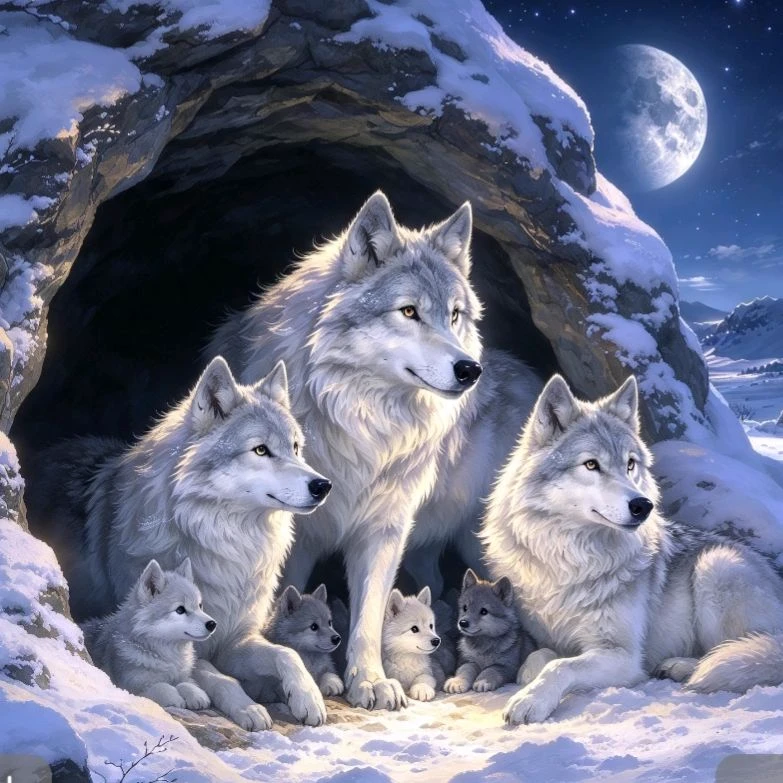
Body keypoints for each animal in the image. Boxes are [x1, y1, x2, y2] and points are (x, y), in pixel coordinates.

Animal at [27, 357, 333, 727]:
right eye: (261, 450)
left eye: (296, 448)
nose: (323, 485)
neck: (229, 546)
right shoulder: (188, 642)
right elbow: (222, 678)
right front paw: (249, 709)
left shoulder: (234, 638)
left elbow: (286, 654)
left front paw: (309, 698)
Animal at [208, 191, 483, 710]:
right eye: (409, 312)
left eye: (455, 314)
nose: (469, 369)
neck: (364, 428)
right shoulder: (294, 535)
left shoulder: (384, 529)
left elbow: (370, 616)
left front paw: (370, 681)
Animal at [482, 373, 783, 725]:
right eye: (591, 464)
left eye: (630, 464)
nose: (643, 505)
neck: (571, 559)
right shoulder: (547, 637)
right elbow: (540, 657)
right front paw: (528, 677)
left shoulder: (622, 656)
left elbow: (560, 666)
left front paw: (530, 701)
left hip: (717, 567)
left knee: (738, 650)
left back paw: (682, 668)